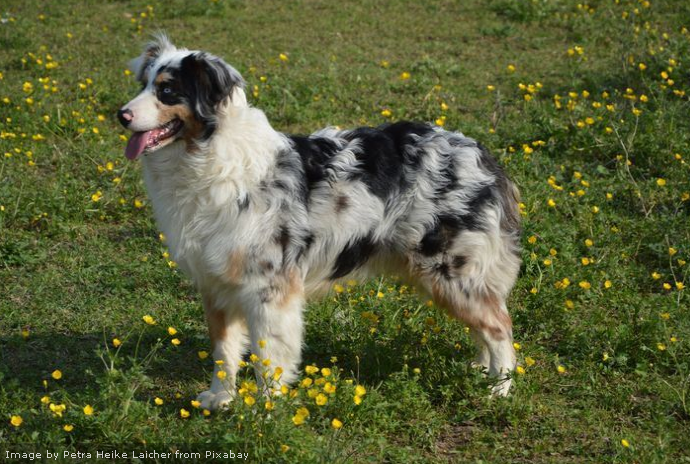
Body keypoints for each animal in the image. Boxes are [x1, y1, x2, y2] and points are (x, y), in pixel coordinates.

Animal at [115, 37, 520, 410]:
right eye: (143, 85)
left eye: (167, 90)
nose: (121, 115)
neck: (209, 157)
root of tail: (480, 153)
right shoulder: (215, 284)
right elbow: (223, 352)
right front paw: (220, 398)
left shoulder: (269, 289)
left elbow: (267, 358)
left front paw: (264, 412)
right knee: (486, 324)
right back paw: (481, 370)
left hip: (451, 271)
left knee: (499, 325)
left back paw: (499, 387)